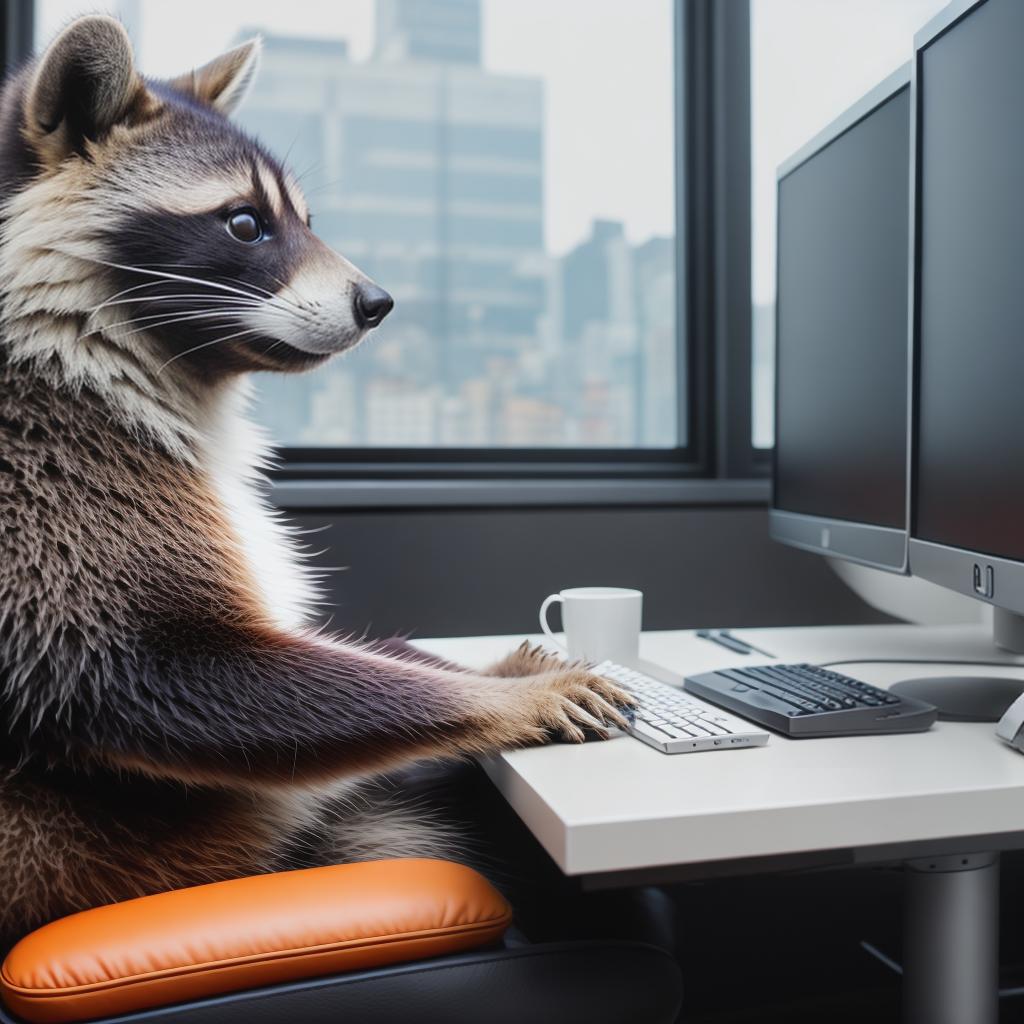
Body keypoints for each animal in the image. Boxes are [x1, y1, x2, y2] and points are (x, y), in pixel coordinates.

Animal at [0, 14, 630, 942]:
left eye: (304, 218)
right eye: (244, 224)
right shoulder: (49, 480)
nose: (379, 304)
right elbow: (149, 667)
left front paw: (484, 670)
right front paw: (503, 701)